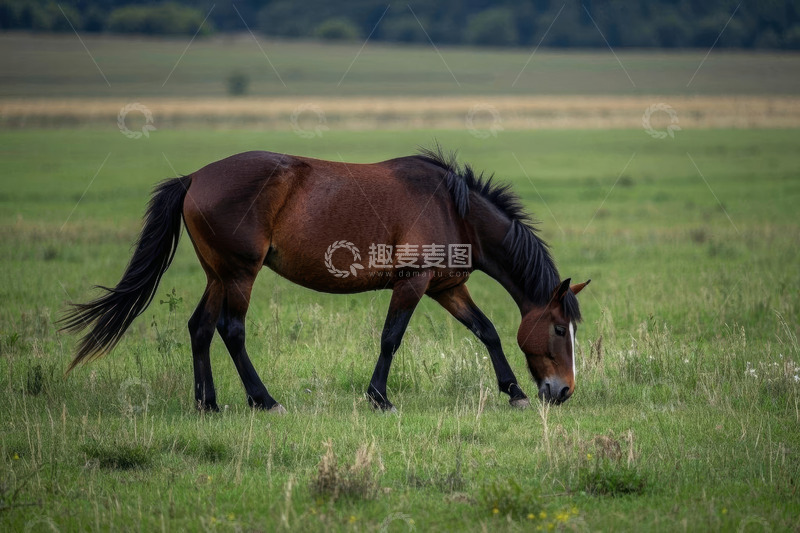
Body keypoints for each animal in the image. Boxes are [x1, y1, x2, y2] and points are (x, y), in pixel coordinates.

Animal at [60, 146, 589, 413]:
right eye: (558, 329)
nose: (563, 391)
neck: (453, 211)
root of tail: (193, 177)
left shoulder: (446, 287)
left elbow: (488, 331)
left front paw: (514, 391)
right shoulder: (413, 284)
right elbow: (391, 337)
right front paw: (379, 398)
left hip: (217, 275)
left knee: (200, 329)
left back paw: (208, 404)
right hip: (240, 275)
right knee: (231, 331)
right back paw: (263, 400)